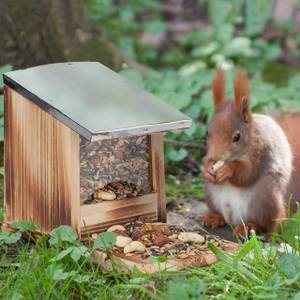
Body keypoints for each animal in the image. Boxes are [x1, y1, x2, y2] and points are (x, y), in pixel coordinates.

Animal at [199, 68, 300, 237]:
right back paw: (214, 217)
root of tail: (234, 219)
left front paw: (228, 170)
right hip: (210, 193)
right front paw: (206, 168)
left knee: (267, 226)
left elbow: (247, 173)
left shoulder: (260, 151)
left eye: (237, 136)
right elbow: (206, 160)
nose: (216, 157)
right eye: (207, 132)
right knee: (221, 215)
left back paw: (249, 226)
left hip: (265, 197)